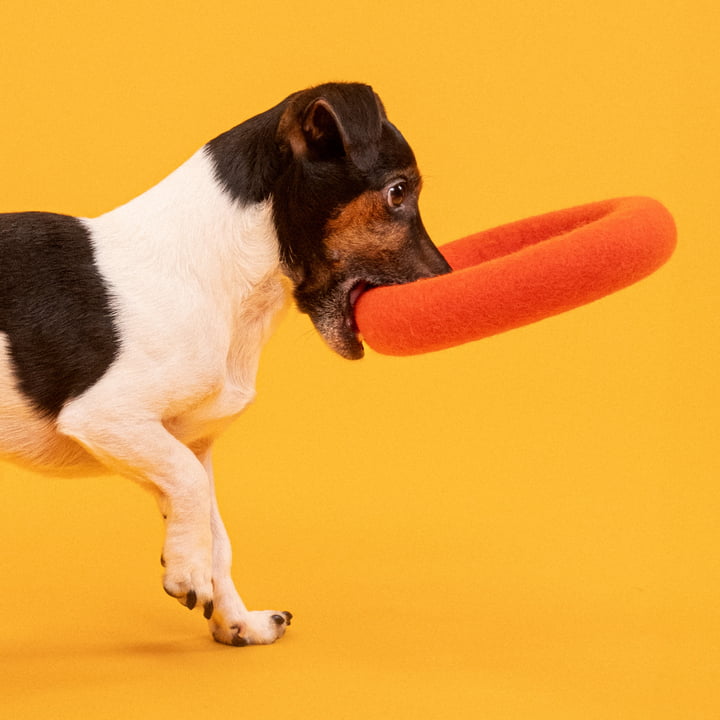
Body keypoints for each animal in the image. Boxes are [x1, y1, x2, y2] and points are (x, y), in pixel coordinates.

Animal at [0, 84, 450, 648]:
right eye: (397, 192)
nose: (448, 282)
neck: (218, 274)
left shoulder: (186, 443)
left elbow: (216, 533)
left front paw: (237, 621)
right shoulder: (108, 417)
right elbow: (191, 487)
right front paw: (187, 572)